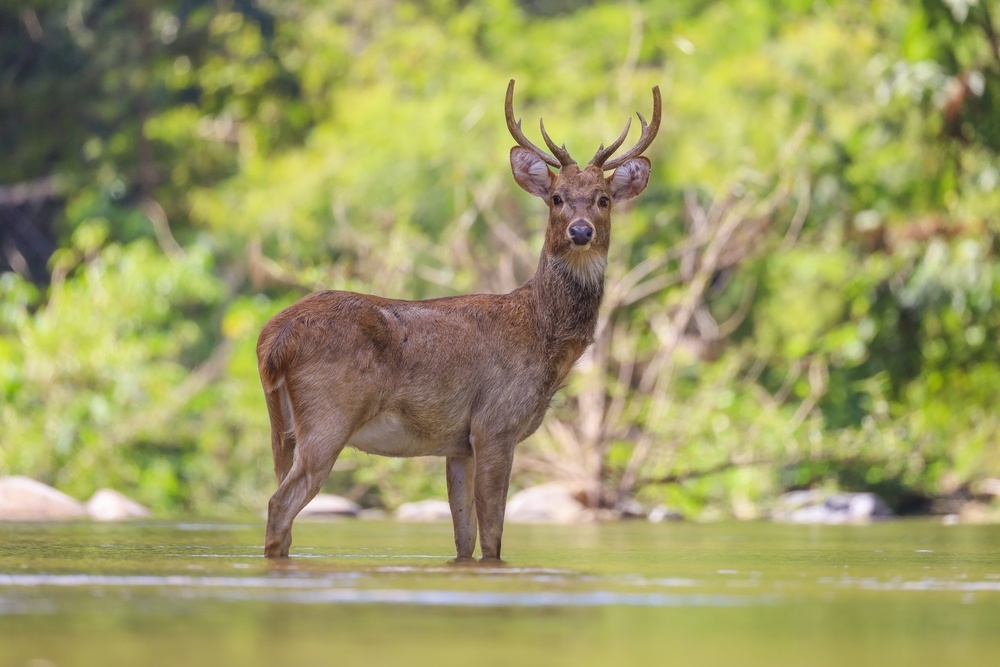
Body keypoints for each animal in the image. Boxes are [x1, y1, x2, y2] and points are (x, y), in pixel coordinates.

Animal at [257, 79, 660, 561]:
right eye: (557, 197)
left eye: (604, 199)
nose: (580, 231)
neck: (543, 336)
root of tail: (273, 339)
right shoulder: (495, 423)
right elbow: (493, 536)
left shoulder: (457, 444)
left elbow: (465, 538)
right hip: (329, 416)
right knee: (279, 505)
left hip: (281, 428)